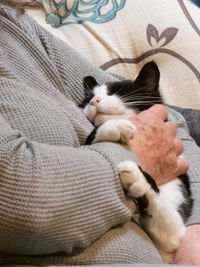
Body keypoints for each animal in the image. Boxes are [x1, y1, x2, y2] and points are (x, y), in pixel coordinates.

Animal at [79, 61, 193, 264]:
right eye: (88, 98)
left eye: (115, 92)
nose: (94, 101)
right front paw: (115, 126)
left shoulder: (173, 224)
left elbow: (168, 224)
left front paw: (138, 179)